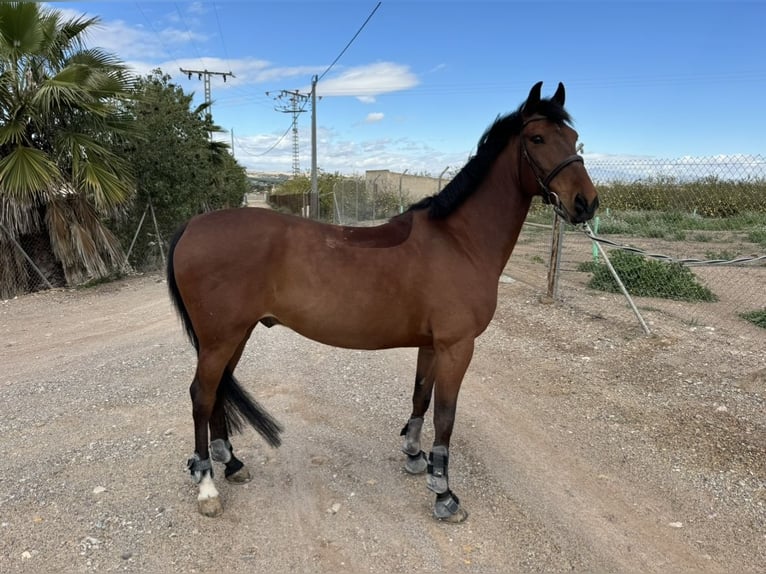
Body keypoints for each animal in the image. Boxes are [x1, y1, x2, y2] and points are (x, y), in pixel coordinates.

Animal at [166, 81, 599, 522]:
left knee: (218, 391)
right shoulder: (457, 346)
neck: (458, 241)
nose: (586, 203)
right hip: (221, 338)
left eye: (573, 138)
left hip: (235, 335)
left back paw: (232, 463)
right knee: (202, 395)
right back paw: (207, 486)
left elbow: (421, 396)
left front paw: (414, 456)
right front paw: (444, 493)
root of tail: (191, 226)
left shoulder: (432, 344)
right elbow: (446, 415)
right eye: (537, 138)